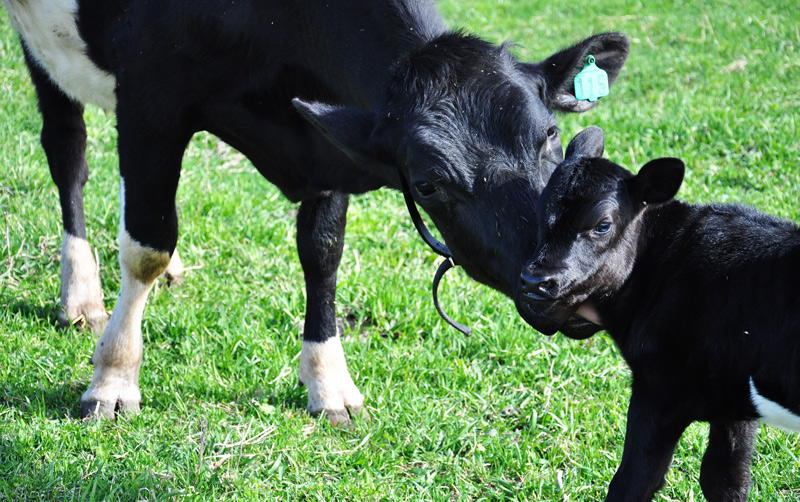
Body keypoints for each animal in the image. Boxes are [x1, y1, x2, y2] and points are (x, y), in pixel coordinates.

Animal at [5, 0, 629, 425]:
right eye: (427, 184)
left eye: (549, 134)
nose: (566, 282)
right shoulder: (152, 97)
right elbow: (145, 247)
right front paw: (114, 379)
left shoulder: (328, 136)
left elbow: (323, 253)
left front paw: (330, 385)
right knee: (67, 150)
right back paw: (81, 292)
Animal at [515, 126, 800, 501]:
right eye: (538, 213)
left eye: (602, 225)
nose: (535, 281)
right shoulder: (734, 404)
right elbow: (725, 480)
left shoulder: (658, 389)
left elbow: (633, 482)